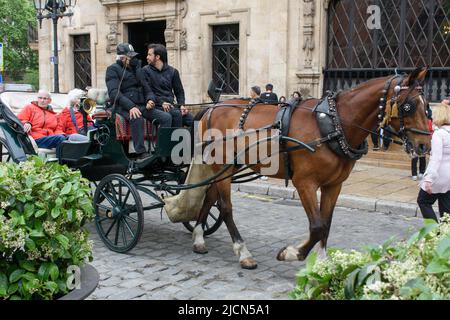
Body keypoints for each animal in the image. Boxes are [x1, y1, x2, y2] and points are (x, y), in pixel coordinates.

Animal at [192, 68, 430, 270]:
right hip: (222, 165)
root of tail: (211, 108)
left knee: (209, 196)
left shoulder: (334, 185)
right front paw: (291, 253)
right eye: (408, 106)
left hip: (228, 167)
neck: (333, 125)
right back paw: (243, 252)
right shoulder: (305, 183)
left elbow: (326, 223)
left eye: (426, 105)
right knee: (225, 207)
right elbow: (316, 226)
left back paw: (198, 237)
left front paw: (321, 265)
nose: (424, 145)